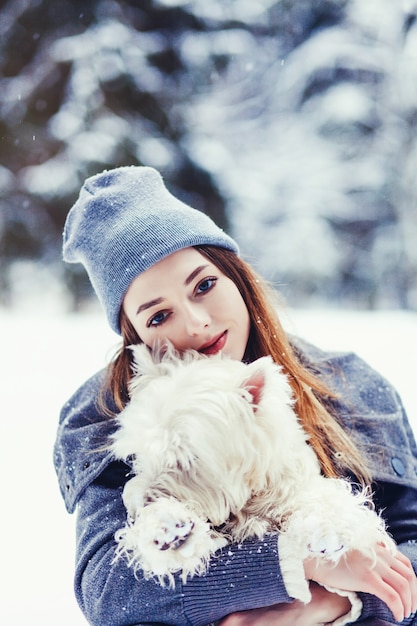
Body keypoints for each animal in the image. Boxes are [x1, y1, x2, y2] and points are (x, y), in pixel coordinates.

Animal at [110, 342, 394, 600]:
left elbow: (326, 501)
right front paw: (166, 527)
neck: (249, 497)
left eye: (188, 457)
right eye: (142, 453)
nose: (141, 505)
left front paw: (326, 528)